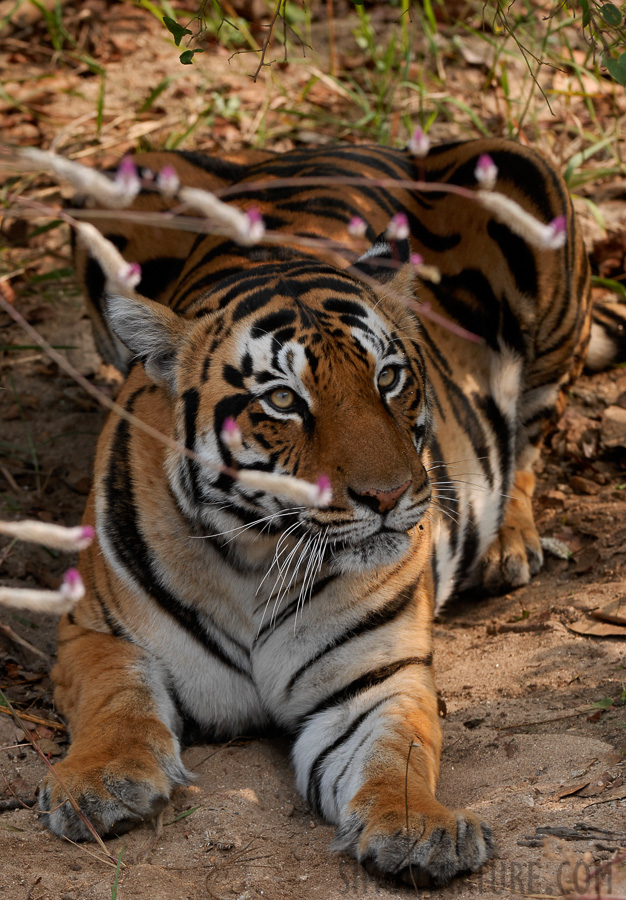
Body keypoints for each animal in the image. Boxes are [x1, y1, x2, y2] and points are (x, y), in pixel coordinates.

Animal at [35, 141, 608, 884]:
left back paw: (507, 545)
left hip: (525, 181)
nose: (390, 496)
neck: (252, 556)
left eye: (389, 378)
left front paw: (419, 827)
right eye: (283, 400)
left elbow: (395, 754)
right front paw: (99, 780)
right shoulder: (95, 633)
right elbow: (116, 699)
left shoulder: (377, 679)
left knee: (535, 428)